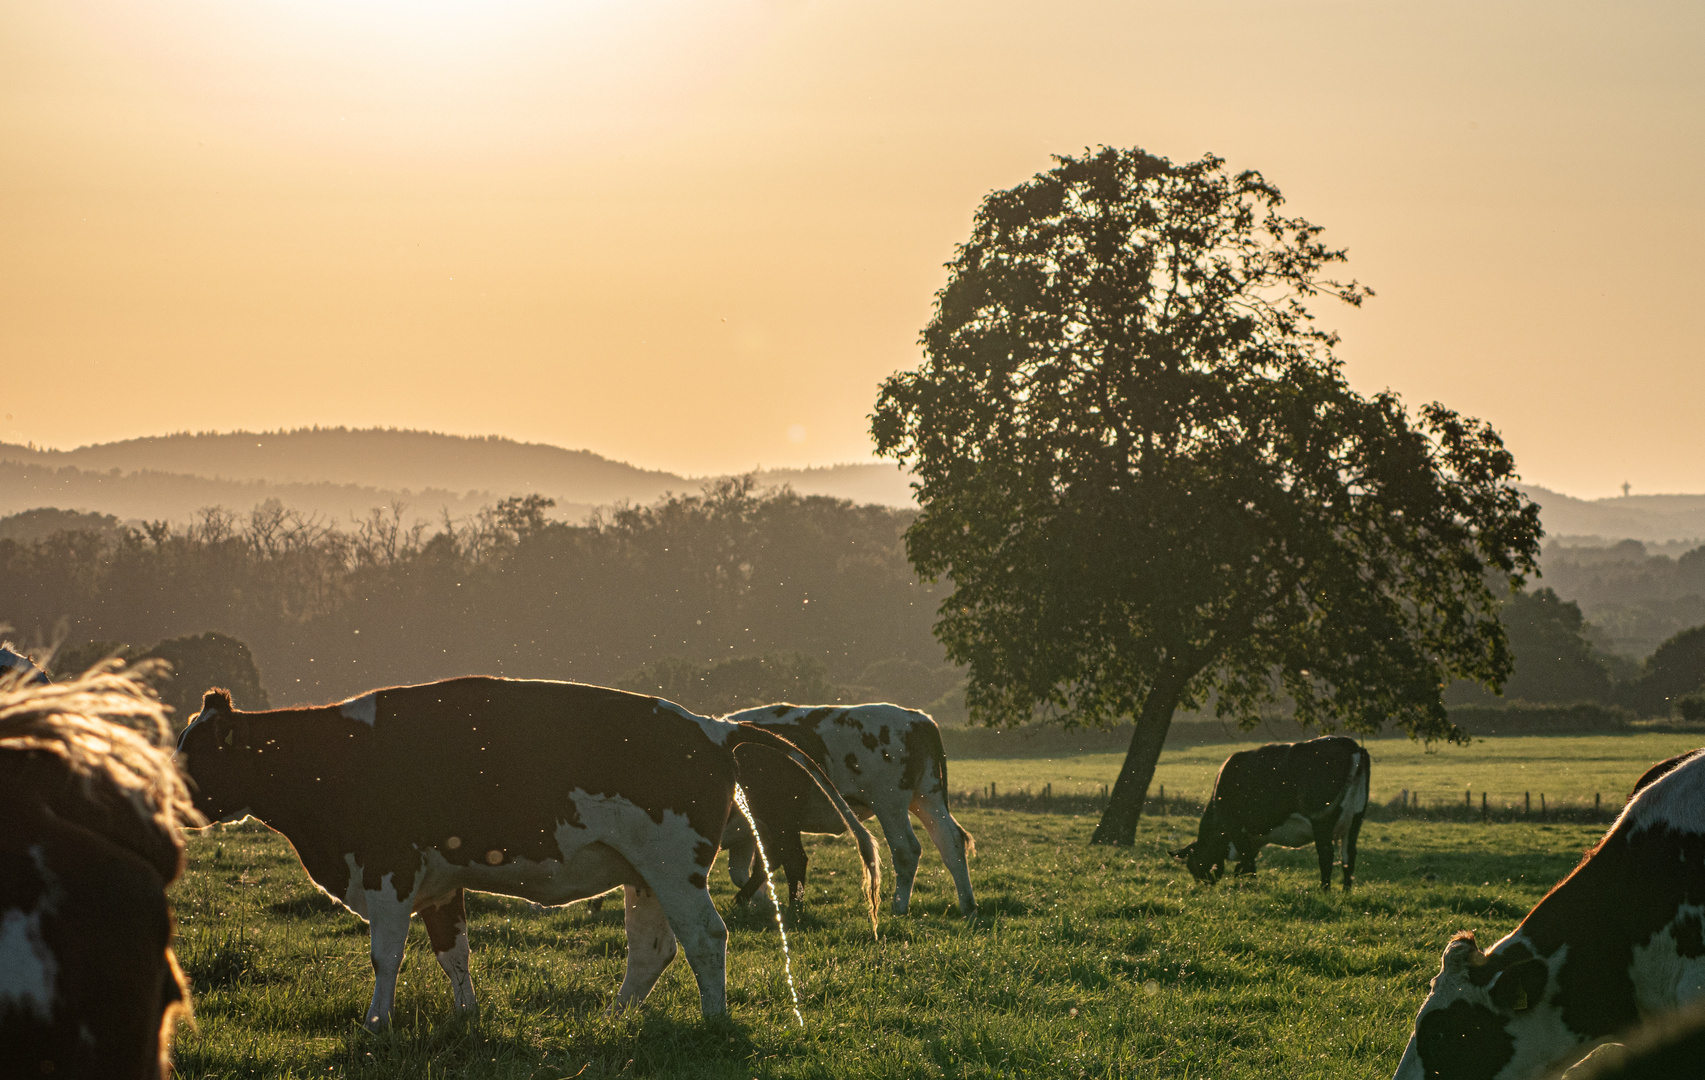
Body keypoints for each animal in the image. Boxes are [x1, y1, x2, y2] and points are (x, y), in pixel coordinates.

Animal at [179, 675, 886, 1030]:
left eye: (201, 754)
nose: (164, 801)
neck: (333, 756)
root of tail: (714, 727)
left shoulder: (388, 872)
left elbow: (386, 956)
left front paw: (375, 1024)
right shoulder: (440, 883)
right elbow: (453, 954)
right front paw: (465, 1017)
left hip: (673, 869)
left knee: (706, 937)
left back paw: (714, 1019)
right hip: (645, 875)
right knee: (652, 948)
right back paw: (614, 1017)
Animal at [722, 699, 982, 921]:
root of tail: (917, 718)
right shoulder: (752, 831)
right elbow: (744, 869)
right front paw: (761, 902)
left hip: (889, 804)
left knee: (906, 850)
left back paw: (898, 907)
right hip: (928, 797)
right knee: (951, 842)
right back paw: (968, 906)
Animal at [1173, 733, 1370, 894]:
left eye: (1193, 865)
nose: (1203, 886)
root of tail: (1351, 744)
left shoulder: (1235, 828)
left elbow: (1247, 863)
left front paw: (1250, 887)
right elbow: (1243, 865)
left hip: (1321, 820)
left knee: (1327, 855)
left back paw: (1324, 890)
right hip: (1355, 820)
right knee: (1348, 857)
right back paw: (1345, 892)